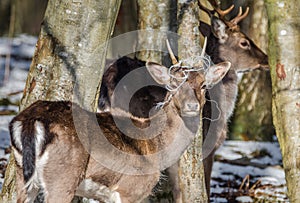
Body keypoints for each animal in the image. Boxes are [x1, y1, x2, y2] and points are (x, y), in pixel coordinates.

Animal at [9, 42, 230, 202]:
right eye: (173, 85)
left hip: (22, 175)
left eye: (203, 85)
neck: (157, 148)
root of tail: (29, 121)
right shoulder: (130, 189)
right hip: (63, 177)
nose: (192, 105)